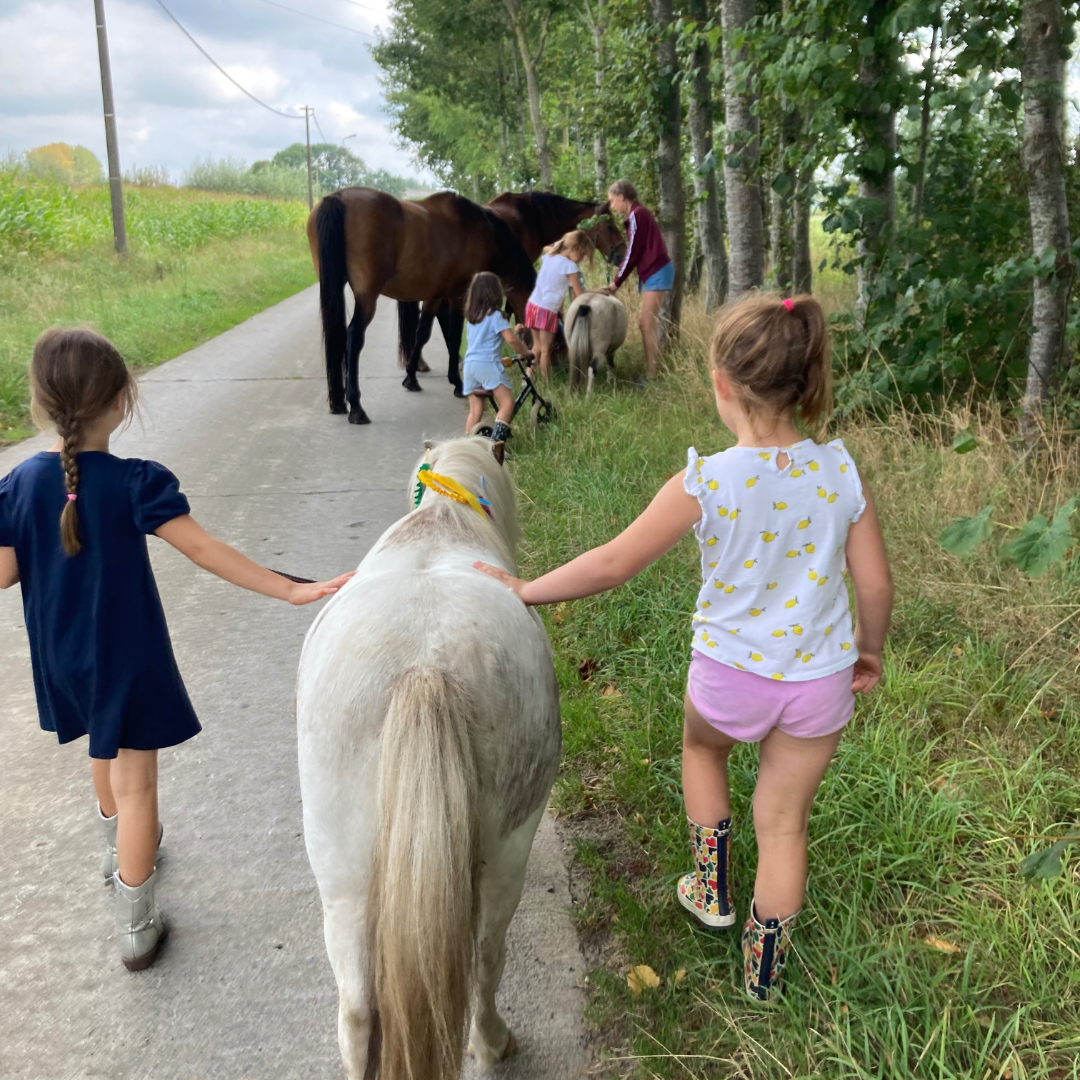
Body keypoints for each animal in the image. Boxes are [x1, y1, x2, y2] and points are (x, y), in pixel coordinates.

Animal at [295, 436, 562, 1080]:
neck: (441, 525)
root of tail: (424, 663)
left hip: (342, 877)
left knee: (356, 1012)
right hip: (504, 855)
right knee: (486, 959)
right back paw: (493, 1044)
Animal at [308, 188, 537, 424]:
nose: (534, 358)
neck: (482, 231)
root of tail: (338, 197)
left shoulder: (435, 297)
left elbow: (422, 333)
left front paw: (411, 378)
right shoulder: (459, 296)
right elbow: (454, 337)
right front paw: (457, 383)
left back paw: (339, 402)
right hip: (367, 297)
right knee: (354, 337)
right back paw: (356, 407)